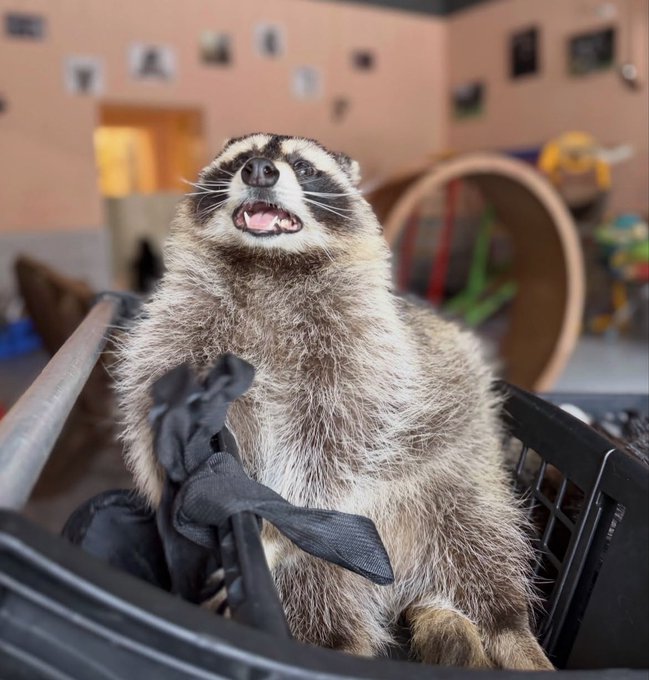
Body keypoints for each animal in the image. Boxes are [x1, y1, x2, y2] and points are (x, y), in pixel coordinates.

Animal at [116, 133, 553, 669]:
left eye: (303, 167)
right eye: (240, 159)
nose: (259, 170)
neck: (267, 265)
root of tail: (403, 586)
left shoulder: (364, 356)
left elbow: (333, 449)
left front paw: (275, 529)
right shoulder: (181, 326)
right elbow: (146, 397)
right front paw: (165, 481)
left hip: (459, 485)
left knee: (485, 555)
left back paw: (512, 632)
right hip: (329, 574)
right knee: (327, 615)